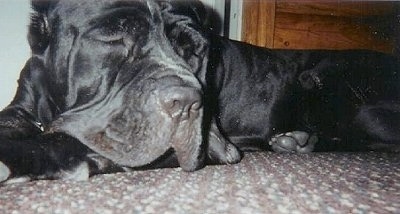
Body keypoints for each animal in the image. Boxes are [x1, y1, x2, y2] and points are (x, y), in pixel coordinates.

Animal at [0, 0, 400, 184]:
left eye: (193, 50)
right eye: (114, 36)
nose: (187, 103)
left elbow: (68, 140)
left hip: (332, 87)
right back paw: (295, 141)